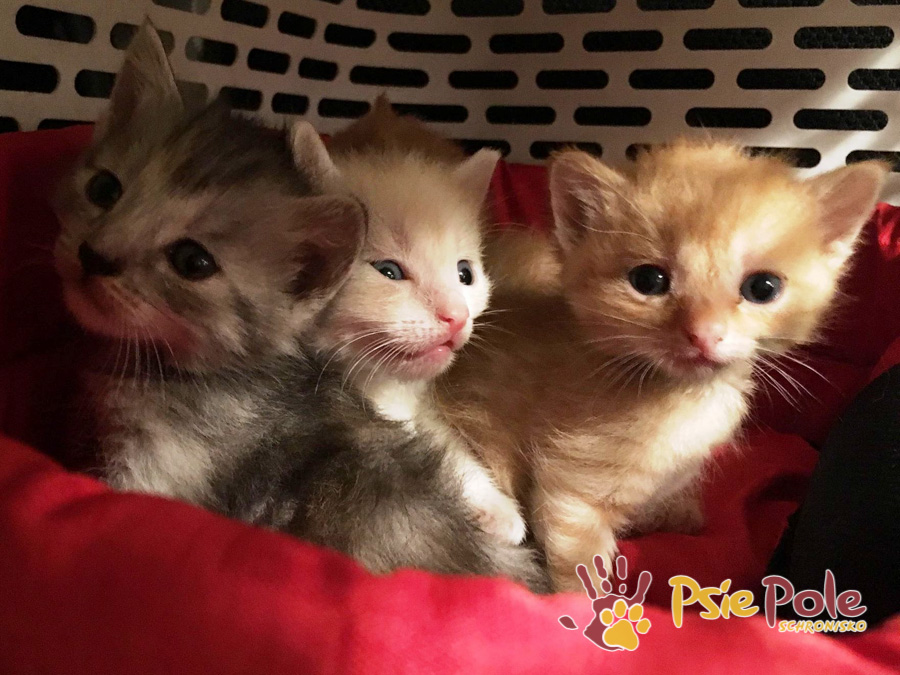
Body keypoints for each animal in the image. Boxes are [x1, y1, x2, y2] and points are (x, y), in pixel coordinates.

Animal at [436, 140, 888, 590]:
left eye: (763, 287)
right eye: (648, 281)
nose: (704, 334)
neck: (683, 401)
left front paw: (677, 513)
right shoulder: (570, 496)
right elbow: (581, 570)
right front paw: (581, 606)